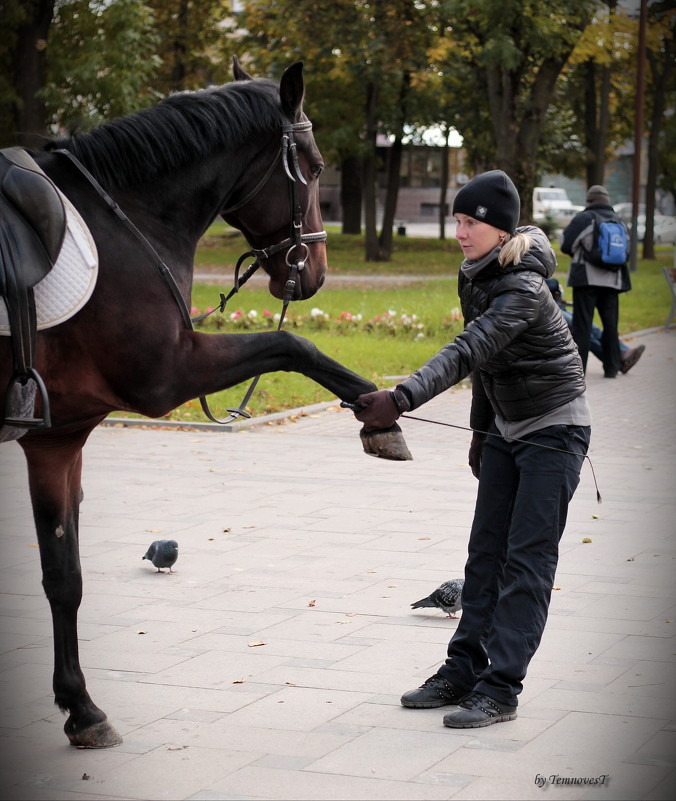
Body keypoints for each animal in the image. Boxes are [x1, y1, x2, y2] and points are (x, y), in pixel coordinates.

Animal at [0, 59, 410, 748]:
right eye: (315, 164)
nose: (317, 271)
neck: (125, 221)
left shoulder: (58, 439)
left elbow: (64, 577)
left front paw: (80, 708)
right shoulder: (167, 376)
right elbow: (290, 343)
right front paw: (378, 410)